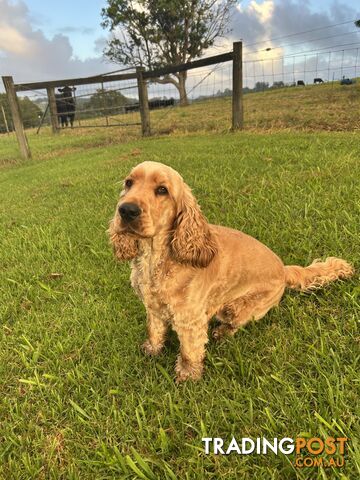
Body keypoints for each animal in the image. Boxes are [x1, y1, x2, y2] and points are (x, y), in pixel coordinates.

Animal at [107, 161, 354, 382]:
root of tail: (284, 269)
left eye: (162, 190)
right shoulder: (153, 307)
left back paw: (222, 332)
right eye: (129, 183)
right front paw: (152, 349)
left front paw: (188, 375)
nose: (126, 210)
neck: (155, 258)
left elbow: (189, 351)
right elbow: (155, 330)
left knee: (238, 324)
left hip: (234, 308)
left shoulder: (191, 319)